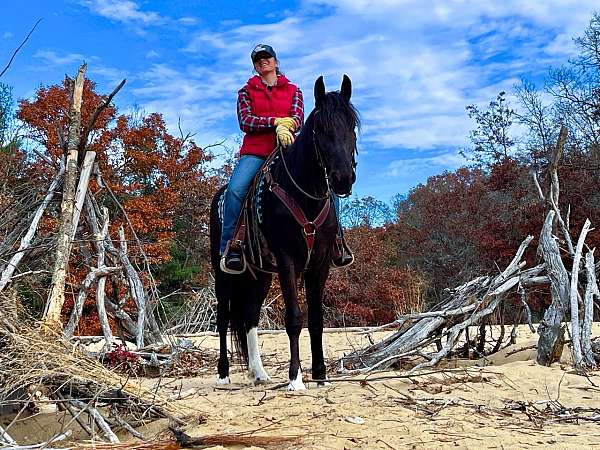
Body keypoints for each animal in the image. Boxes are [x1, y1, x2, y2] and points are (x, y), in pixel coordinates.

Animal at [210, 74, 358, 390]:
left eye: (352, 126)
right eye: (321, 128)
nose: (342, 178)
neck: (305, 195)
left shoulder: (320, 263)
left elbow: (316, 320)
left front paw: (320, 375)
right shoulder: (288, 259)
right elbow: (294, 318)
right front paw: (295, 378)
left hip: (261, 275)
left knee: (250, 316)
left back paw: (258, 372)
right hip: (223, 273)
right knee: (224, 318)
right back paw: (224, 373)